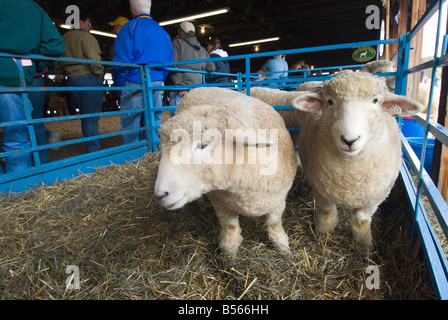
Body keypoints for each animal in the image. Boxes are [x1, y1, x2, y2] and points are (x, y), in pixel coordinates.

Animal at [154, 87, 298, 255]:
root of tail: (199, 87)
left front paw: (283, 248)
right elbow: (230, 225)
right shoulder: (219, 201)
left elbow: (274, 223)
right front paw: (230, 253)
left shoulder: (279, 199)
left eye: (202, 145)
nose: (160, 195)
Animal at [290, 70, 424, 252]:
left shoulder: (375, 197)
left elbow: (361, 220)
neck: (350, 177)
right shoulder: (320, 188)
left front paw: (364, 247)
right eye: (330, 101)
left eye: (375, 100)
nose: (349, 140)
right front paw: (323, 233)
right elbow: (327, 211)